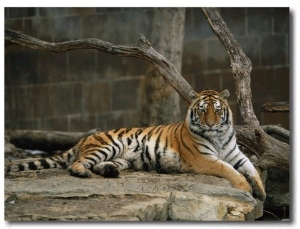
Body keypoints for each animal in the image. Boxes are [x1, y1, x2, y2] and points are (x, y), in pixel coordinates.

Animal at [5, 88, 264, 199]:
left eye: (217, 110)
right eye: (202, 111)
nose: (210, 124)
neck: (219, 136)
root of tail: (83, 139)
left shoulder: (236, 154)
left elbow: (252, 168)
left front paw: (260, 191)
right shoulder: (204, 159)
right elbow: (228, 169)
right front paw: (245, 187)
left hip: (122, 157)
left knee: (100, 165)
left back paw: (109, 171)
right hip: (108, 145)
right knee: (76, 163)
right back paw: (82, 172)